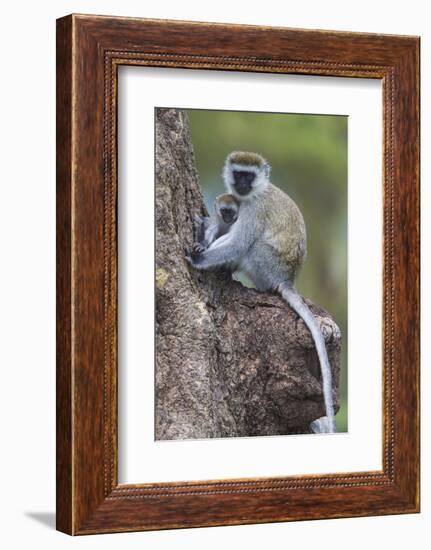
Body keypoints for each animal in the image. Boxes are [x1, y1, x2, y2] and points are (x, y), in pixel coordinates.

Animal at [189, 152, 338, 436]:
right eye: (238, 173)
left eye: (249, 175)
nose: (241, 185)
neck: (255, 193)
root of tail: (285, 280)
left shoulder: (253, 210)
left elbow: (239, 243)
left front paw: (199, 258)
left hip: (264, 263)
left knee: (250, 245)